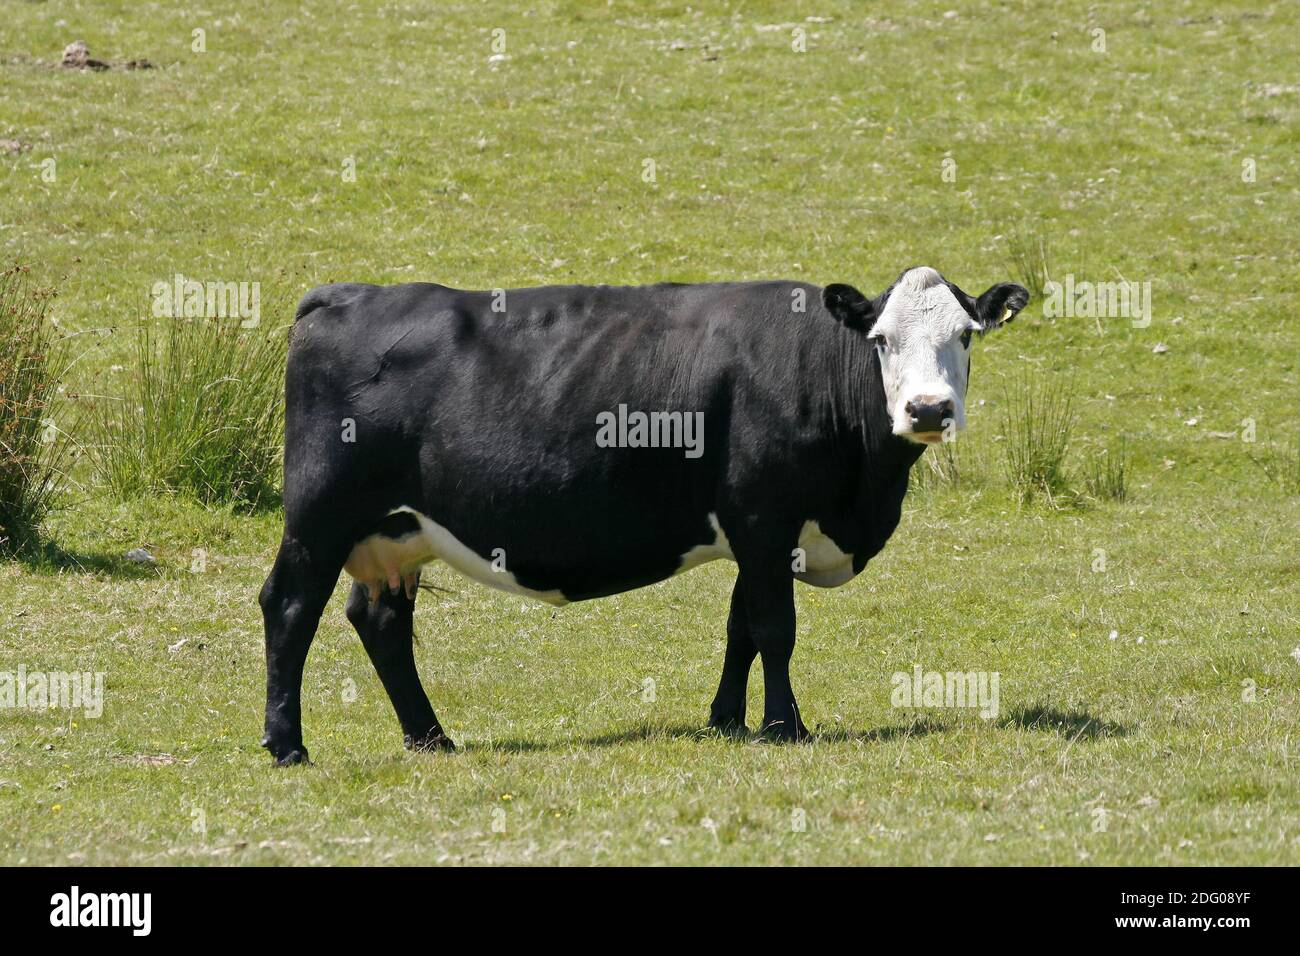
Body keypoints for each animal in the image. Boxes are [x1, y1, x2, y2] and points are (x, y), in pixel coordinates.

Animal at [256, 265, 1024, 764]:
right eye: (882, 340)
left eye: (965, 335)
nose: (928, 410)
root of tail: (343, 295)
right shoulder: (764, 520)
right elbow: (775, 630)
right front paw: (783, 727)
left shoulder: (750, 532)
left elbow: (740, 629)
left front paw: (725, 721)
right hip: (319, 520)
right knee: (289, 608)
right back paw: (288, 743)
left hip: (395, 533)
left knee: (381, 621)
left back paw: (431, 739)